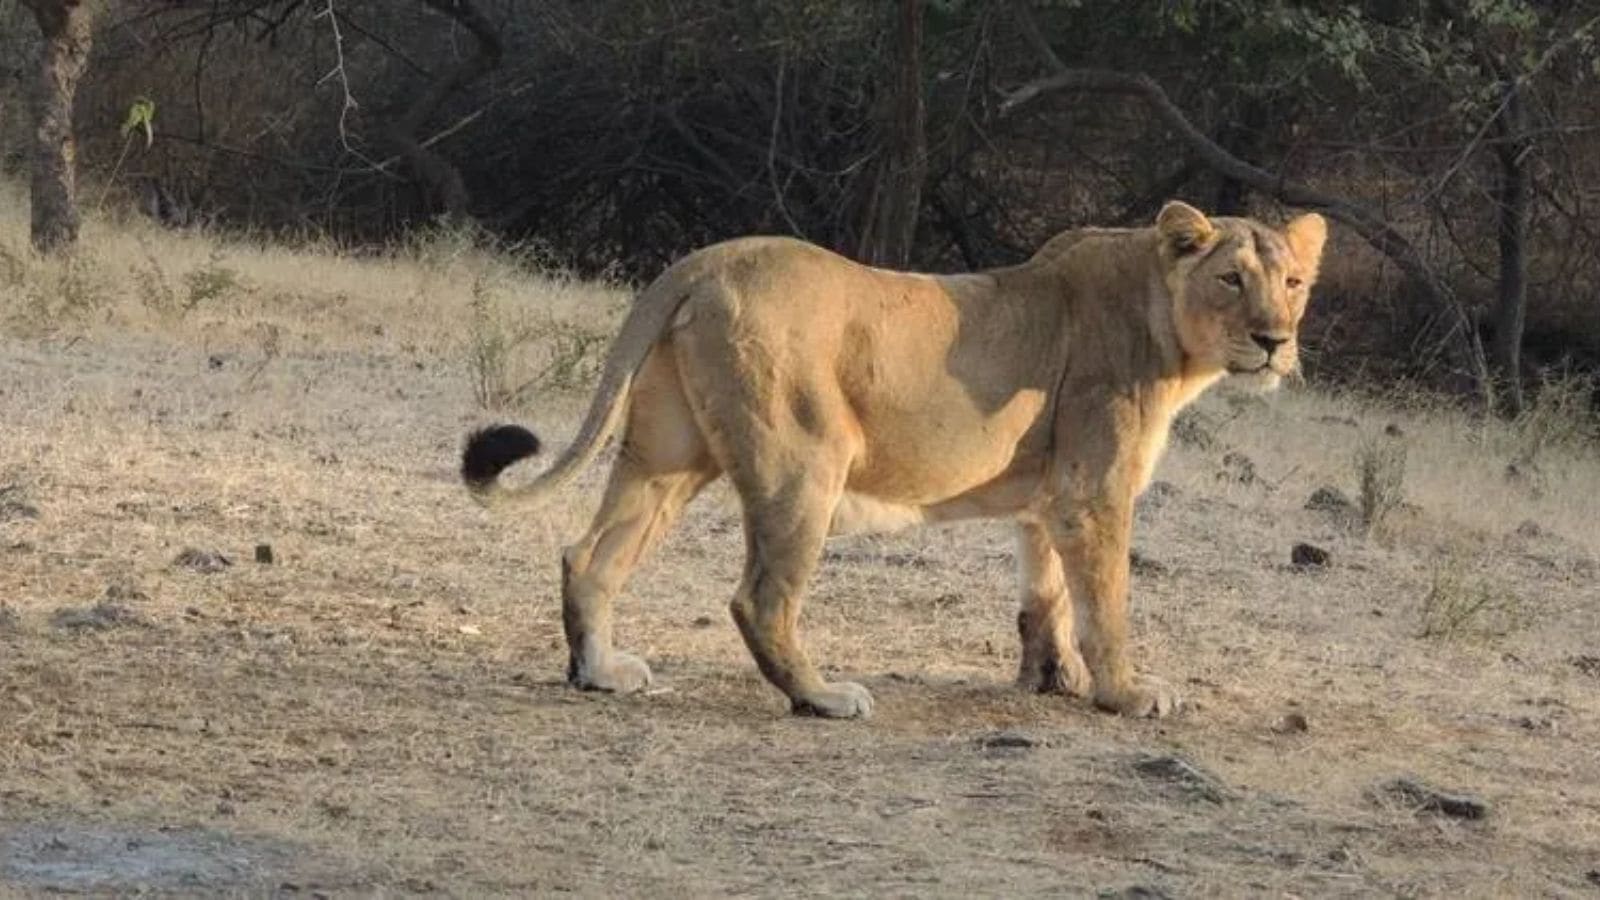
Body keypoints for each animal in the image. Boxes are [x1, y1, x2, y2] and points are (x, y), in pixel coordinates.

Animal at [461, 201, 1326, 720]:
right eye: (1230, 280)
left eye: (1292, 282)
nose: (1275, 340)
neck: (1166, 326)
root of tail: (706, 261)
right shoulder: (1095, 491)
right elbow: (1105, 603)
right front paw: (1124, 692)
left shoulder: (1049, 497)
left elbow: (1045, 596)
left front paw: (1052, 681)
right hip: (806, 459)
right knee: (758, 599)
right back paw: (822, 697)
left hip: (667, 455)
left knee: (588, 556)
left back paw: (600, 671)